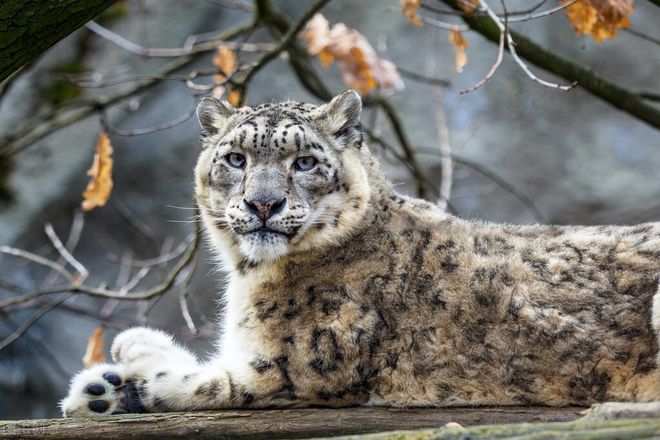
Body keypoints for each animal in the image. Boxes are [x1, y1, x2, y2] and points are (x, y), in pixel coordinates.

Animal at [62, 88, 660, 416]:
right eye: (234, 158)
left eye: (305, 162)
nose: (263, 204)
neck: (250, 277)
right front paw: (105, 380)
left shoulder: (287, 370)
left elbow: (203, 384)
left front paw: (123, 371)